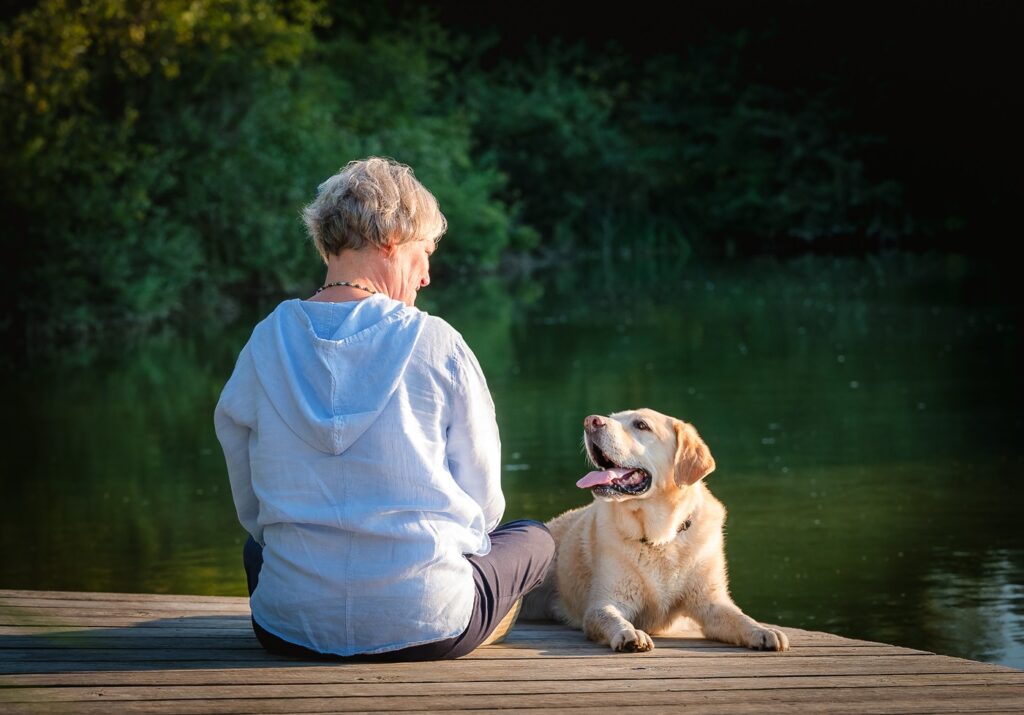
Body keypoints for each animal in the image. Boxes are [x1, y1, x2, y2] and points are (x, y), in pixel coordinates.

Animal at [524, 405, 786, 651]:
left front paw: (763, 630)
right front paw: (630, 633)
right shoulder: (606, 601)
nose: (590, 421)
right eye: (612, 417)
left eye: (641, 425)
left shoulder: (711, 601)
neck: (659, 537)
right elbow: (610, 617)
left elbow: (740, 618)